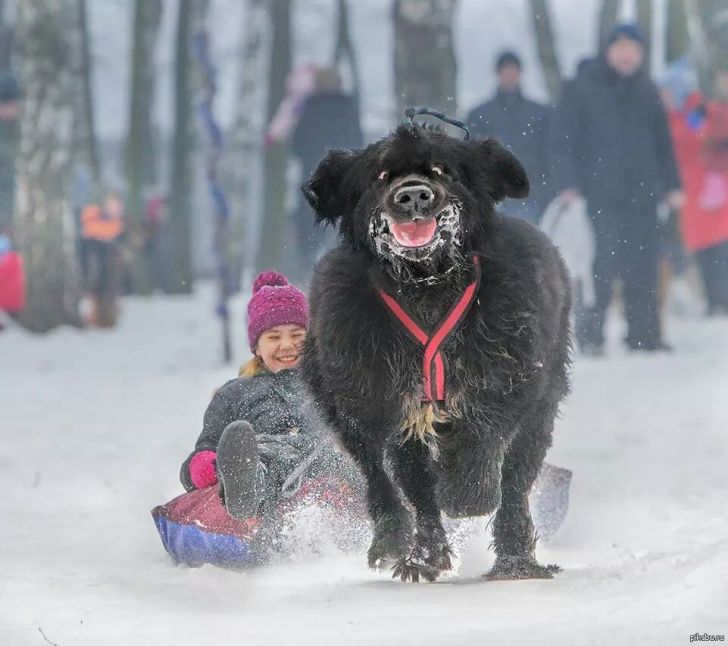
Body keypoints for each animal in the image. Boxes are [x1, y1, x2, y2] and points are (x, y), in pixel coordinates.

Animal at [298, 124, 572, 584]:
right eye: (381, 174)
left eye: (442, 169)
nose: (413, 195)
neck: (425, 284)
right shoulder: (384, 399)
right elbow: (408, 479)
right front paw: (420, 547)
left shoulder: (508, 376)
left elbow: (482, 435)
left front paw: (467, 494)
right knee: (384, 478)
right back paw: (402, 544)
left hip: (541, 404)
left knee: (515, 481)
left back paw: (515, 559)